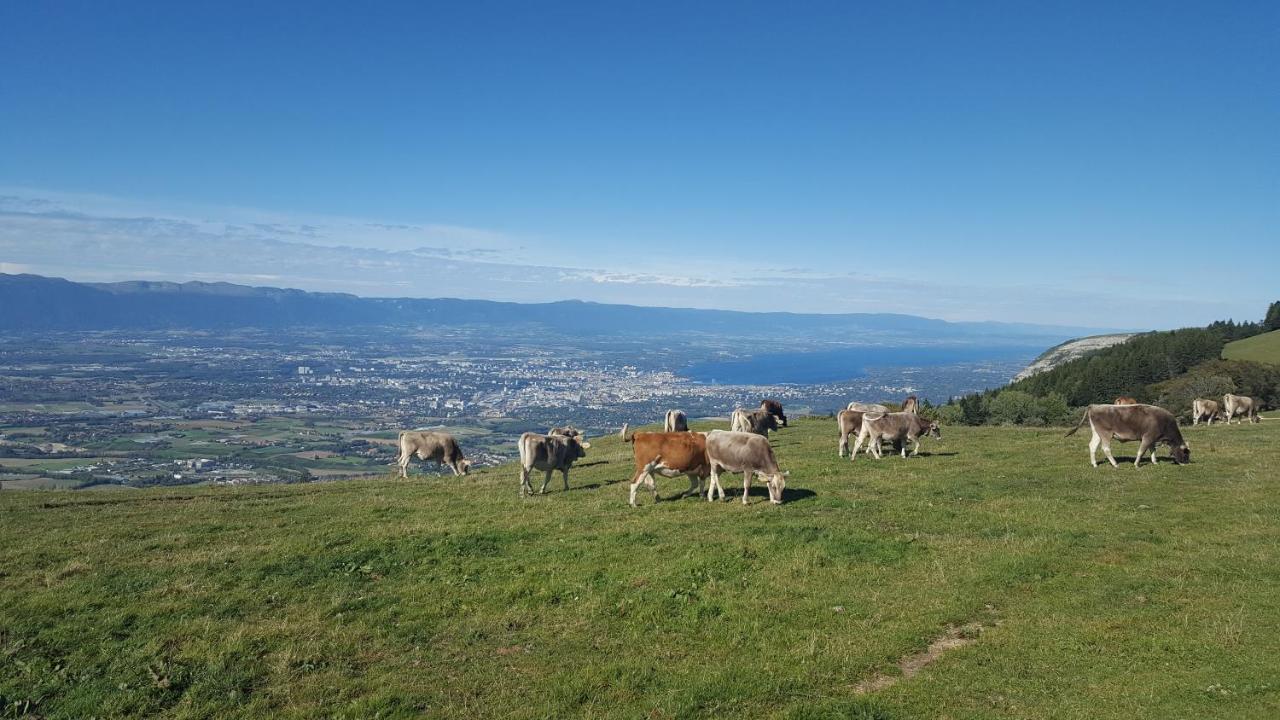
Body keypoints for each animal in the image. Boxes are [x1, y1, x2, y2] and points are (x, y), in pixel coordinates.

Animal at [1059, 404, 1187, 466]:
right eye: (1186, 453)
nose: (1186, 463)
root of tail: (1094, 406)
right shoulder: (1148, 437)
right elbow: (1141, 451)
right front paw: (1136, 464)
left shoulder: (1151, 438)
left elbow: (1152, 450)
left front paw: (1154, 462)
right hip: (1106, 433)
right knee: (1105, 448)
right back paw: (1115, 464)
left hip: (1097, 433)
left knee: (1092, 446)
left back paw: (1094, 464)